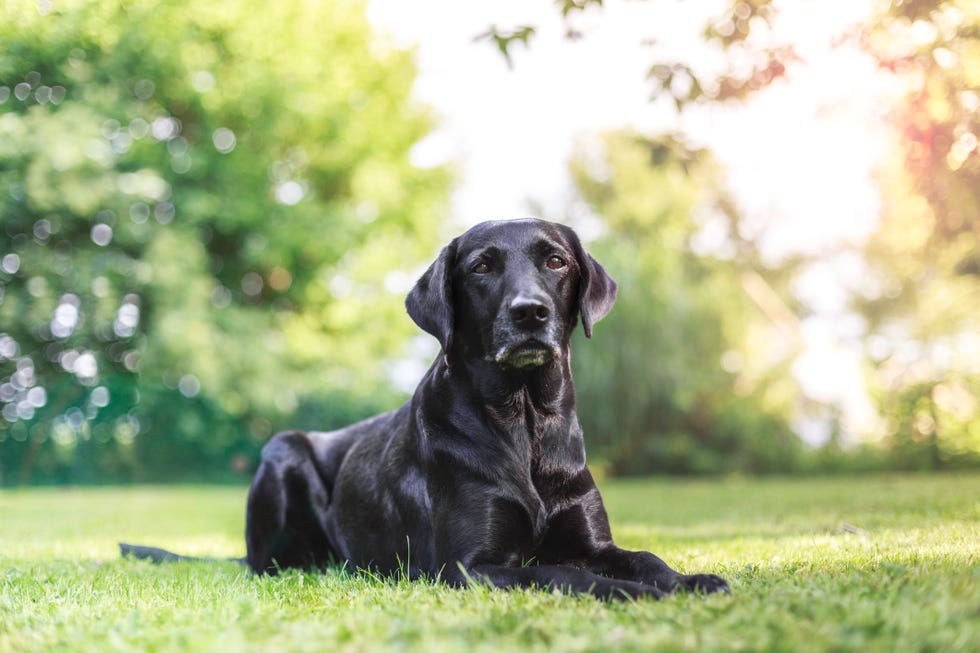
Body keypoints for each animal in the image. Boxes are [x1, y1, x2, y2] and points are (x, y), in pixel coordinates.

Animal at [124, 219, 728, 600]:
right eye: (481, 267)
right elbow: (564, 574)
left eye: (556, 261)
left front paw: (689, 581)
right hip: (283, 450)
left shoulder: (592, 541)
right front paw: (629, 592)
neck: (523, 421)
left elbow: (643, 558)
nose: (529, 312)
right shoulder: (470, 567)